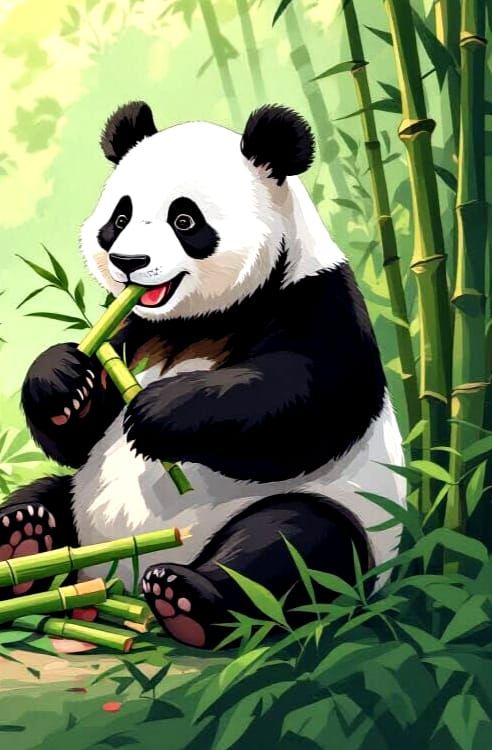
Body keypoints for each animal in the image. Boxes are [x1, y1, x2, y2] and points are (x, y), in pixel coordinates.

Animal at [0, 102, 405, 648]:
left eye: (185, 219)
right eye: (120, 217)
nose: (128, 262)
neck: (194, 322)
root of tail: (113, 575)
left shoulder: (318, 300)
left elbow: (307, 404)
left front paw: (158, 414)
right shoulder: (128, 326)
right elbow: (77, 437)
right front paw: (62, 380)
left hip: (338, 521)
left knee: (294, 545)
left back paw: (187, 599)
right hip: (78, 508)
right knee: (44, 495)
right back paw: (22, 539)